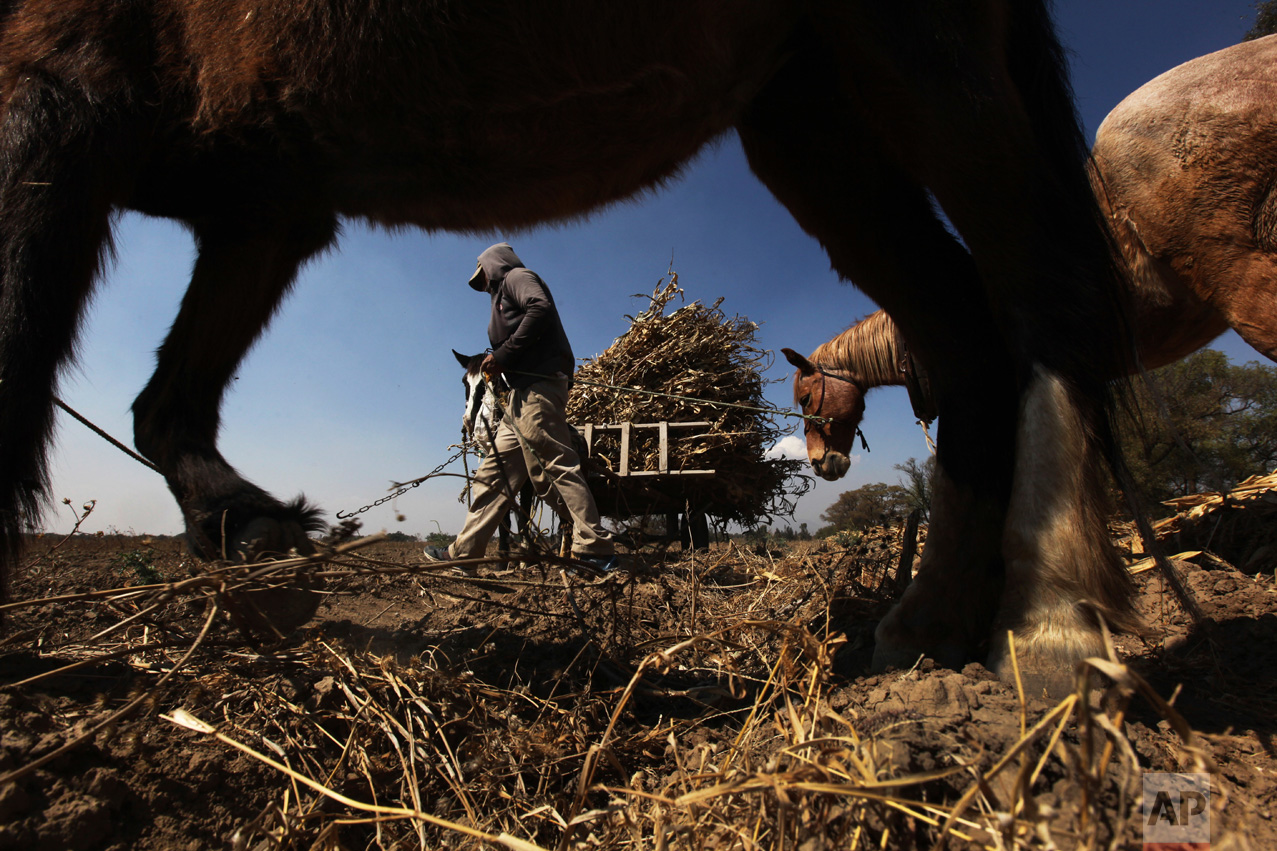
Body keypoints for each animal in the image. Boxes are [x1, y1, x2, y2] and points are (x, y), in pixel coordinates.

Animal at [2, 0, 1139, 684]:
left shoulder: (54, 97)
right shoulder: (261, 198)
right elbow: (167, 400)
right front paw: (252, 530)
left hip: (913, 41)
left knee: (1043, 287)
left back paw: (1055, 623)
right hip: (812, 108)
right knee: (964, 327)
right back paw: (930, 622)